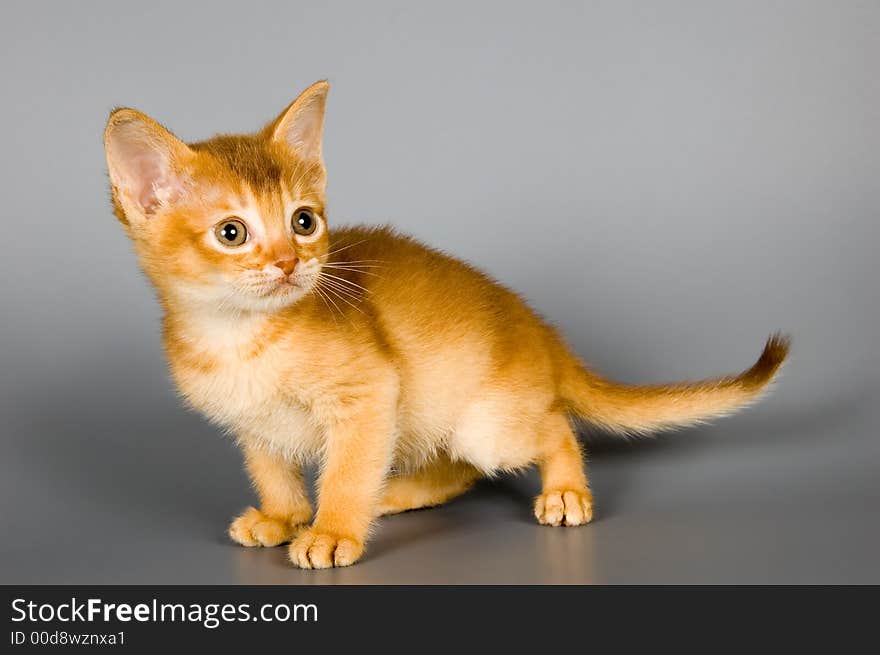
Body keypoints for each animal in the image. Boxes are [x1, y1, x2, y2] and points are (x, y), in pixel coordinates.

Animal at [103, 79, 792, 568]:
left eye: (304, 221)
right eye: (232, 233)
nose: (290, 263)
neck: (238, 339)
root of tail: (542, 334)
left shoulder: (370, 396)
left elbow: (346, 470)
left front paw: (332, 530)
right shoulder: (253, 424)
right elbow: (273, 471)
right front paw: (283, 516)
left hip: (486, 422)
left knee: (552, 427)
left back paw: (565, 492)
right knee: (455, 469)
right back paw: (391, 495)